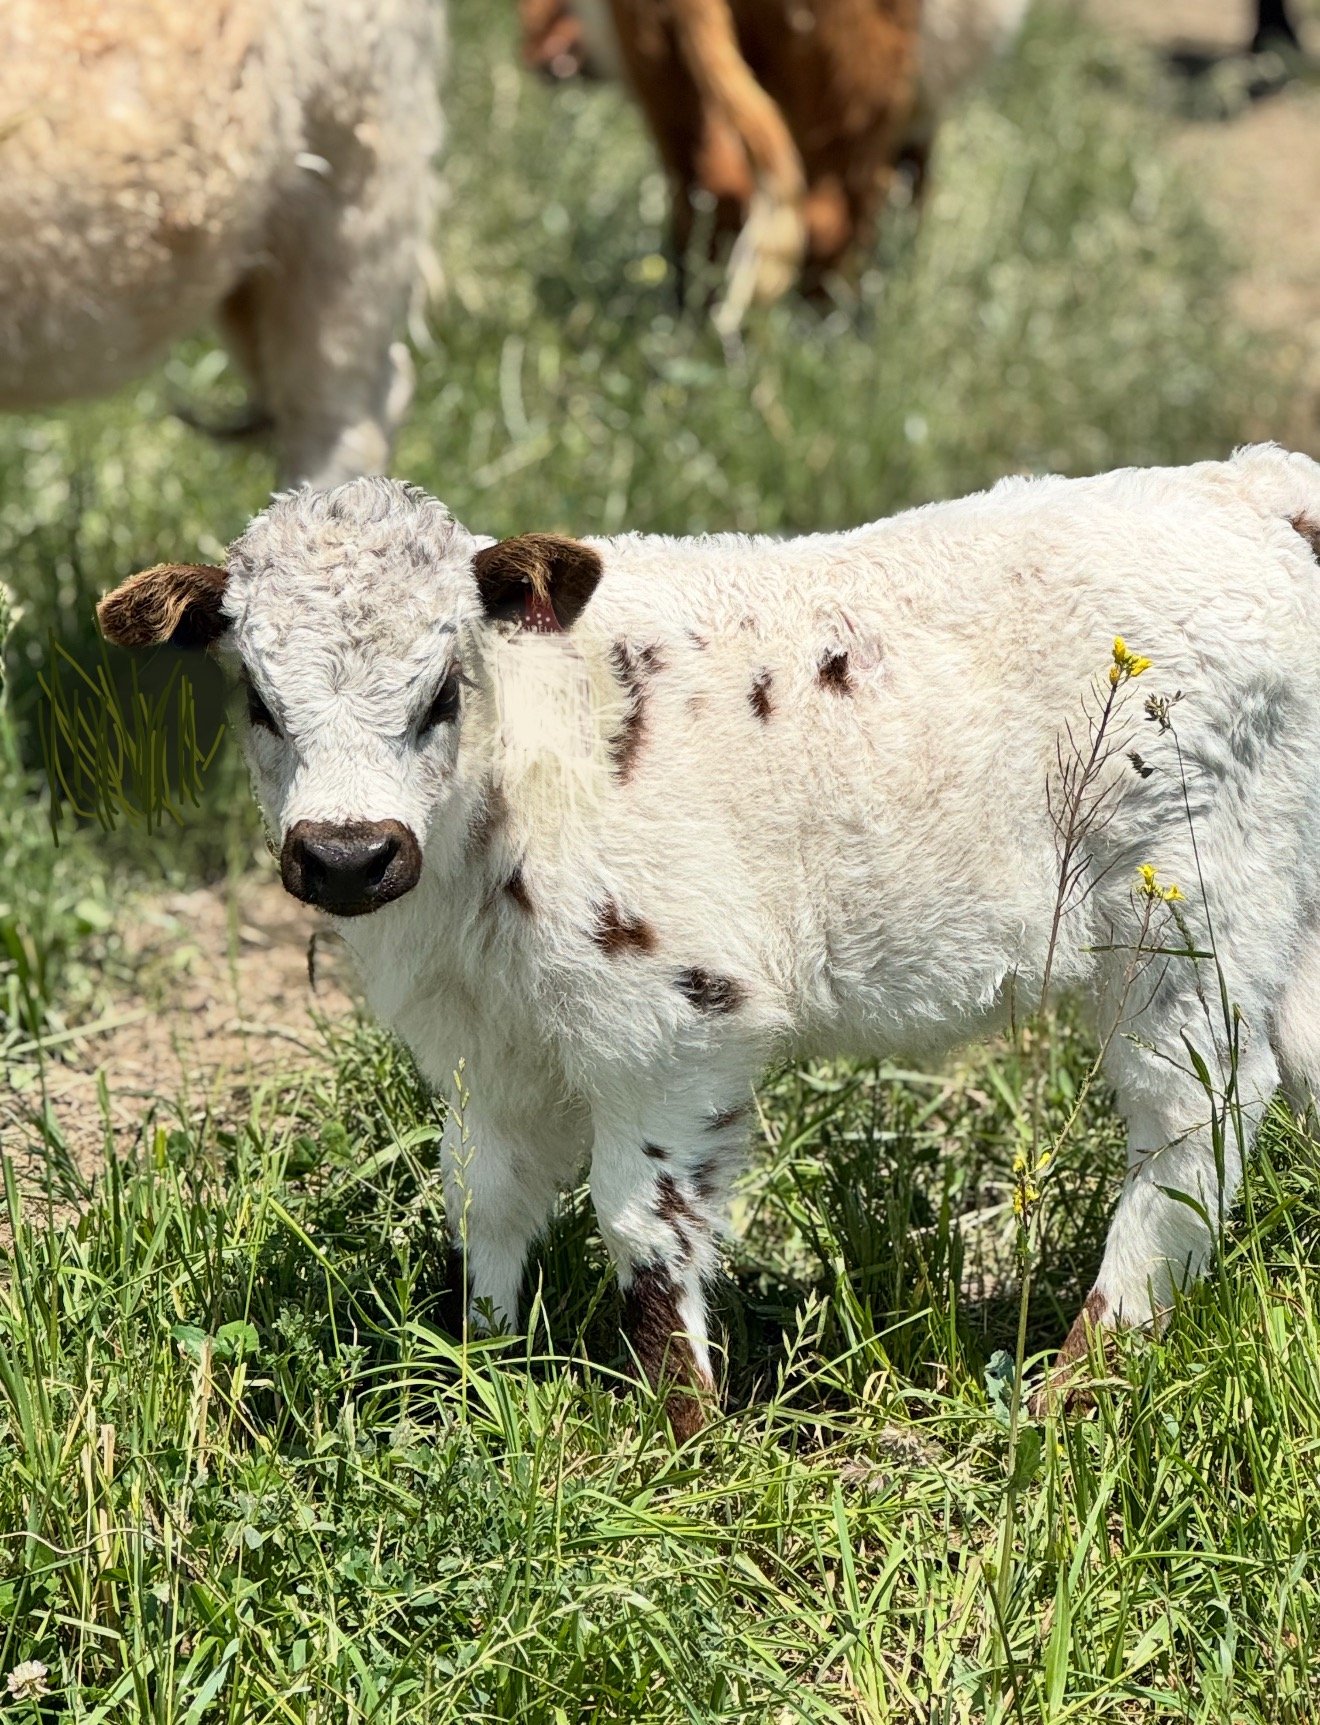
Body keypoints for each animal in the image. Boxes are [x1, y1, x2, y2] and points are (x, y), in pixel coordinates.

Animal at [98, 444, 1320, 1435]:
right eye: (258, 699)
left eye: (443, 689)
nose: (348, 855)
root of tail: (1250, 484)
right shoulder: (487, 1042)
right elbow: (485, 1193)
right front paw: (473, 1380)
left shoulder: (674, 1021)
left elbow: (646, 1229)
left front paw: (679, 1435)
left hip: (1190, 909)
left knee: (1197, 1113)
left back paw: (1080, 1377)